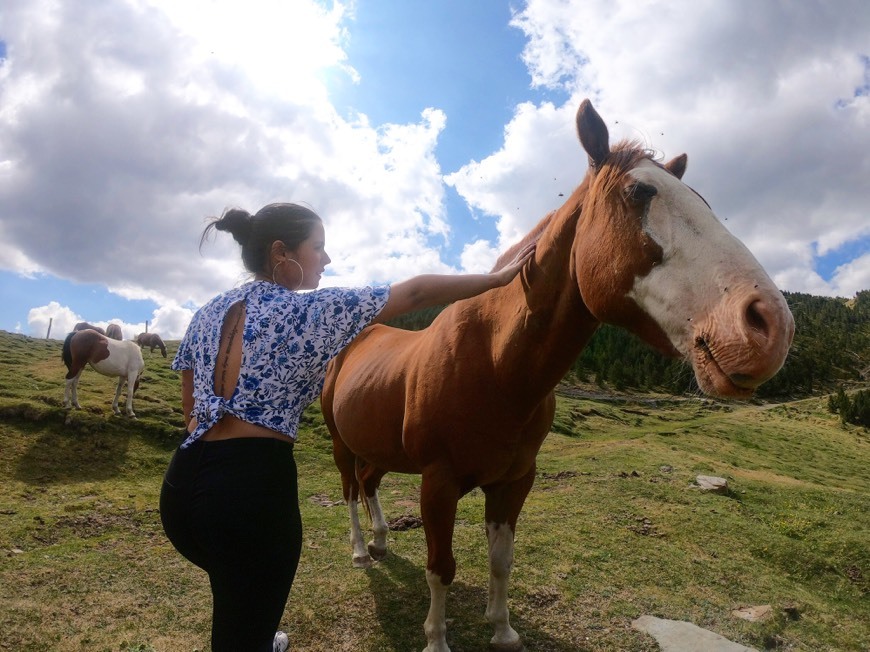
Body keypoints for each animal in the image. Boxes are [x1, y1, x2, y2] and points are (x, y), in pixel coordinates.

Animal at [322, 98, 796, 652]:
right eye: (639, 192)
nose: (770, 326)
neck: (498, 366)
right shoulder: (438, 484)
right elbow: (441, 567)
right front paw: (437, 638)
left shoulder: (515, 480)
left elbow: (501, 560)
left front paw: (502, 628)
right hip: (342, 443)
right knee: (350, 490)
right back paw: (361, 550)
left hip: (377, 447)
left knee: (369, 484)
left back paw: (379, 542)